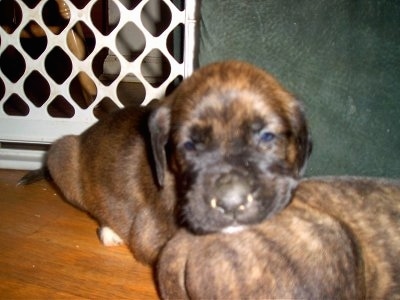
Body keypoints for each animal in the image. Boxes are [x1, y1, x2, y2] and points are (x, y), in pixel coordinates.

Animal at [20, 61, 310, 264]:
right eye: (189, 145)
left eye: (267, 136)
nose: (231, 202)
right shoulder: (154, 238)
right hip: (61, 154)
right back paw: (110, 230)